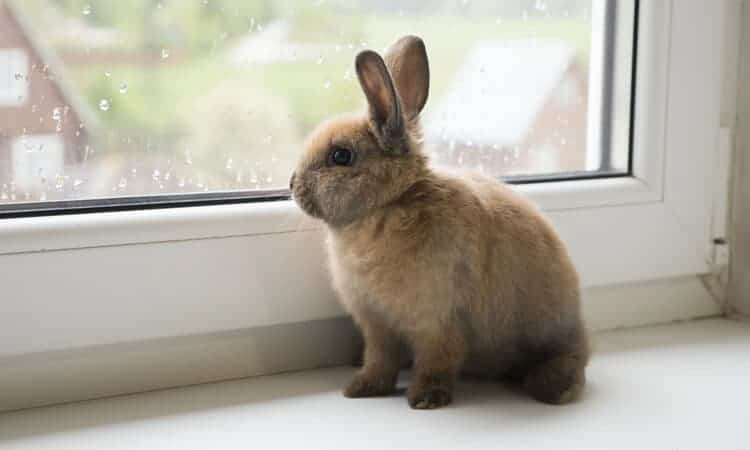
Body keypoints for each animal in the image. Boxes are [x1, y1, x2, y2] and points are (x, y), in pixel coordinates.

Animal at [290, 35, 589, 410]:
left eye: (341, 156)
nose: (292, 184)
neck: (389, 204)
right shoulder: (378, 326)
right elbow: (379, 360)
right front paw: (361, 388)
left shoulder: (437, 321)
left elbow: (438, 360)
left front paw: (425, 398)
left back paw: (553, 387)